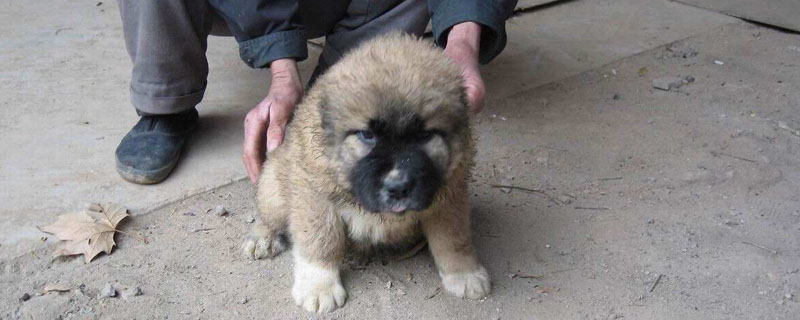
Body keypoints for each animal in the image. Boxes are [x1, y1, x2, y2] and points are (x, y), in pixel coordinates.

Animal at [241, 32, 488, 312]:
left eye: (424, 135)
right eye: (367, 135)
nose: (398, 187)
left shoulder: (449, 197)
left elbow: (453, 239)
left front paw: (465, 274)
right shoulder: (316, 198)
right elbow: (320, 243)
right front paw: (319, 286)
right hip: (274, 185)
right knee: (269, 212)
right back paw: (263, 238)